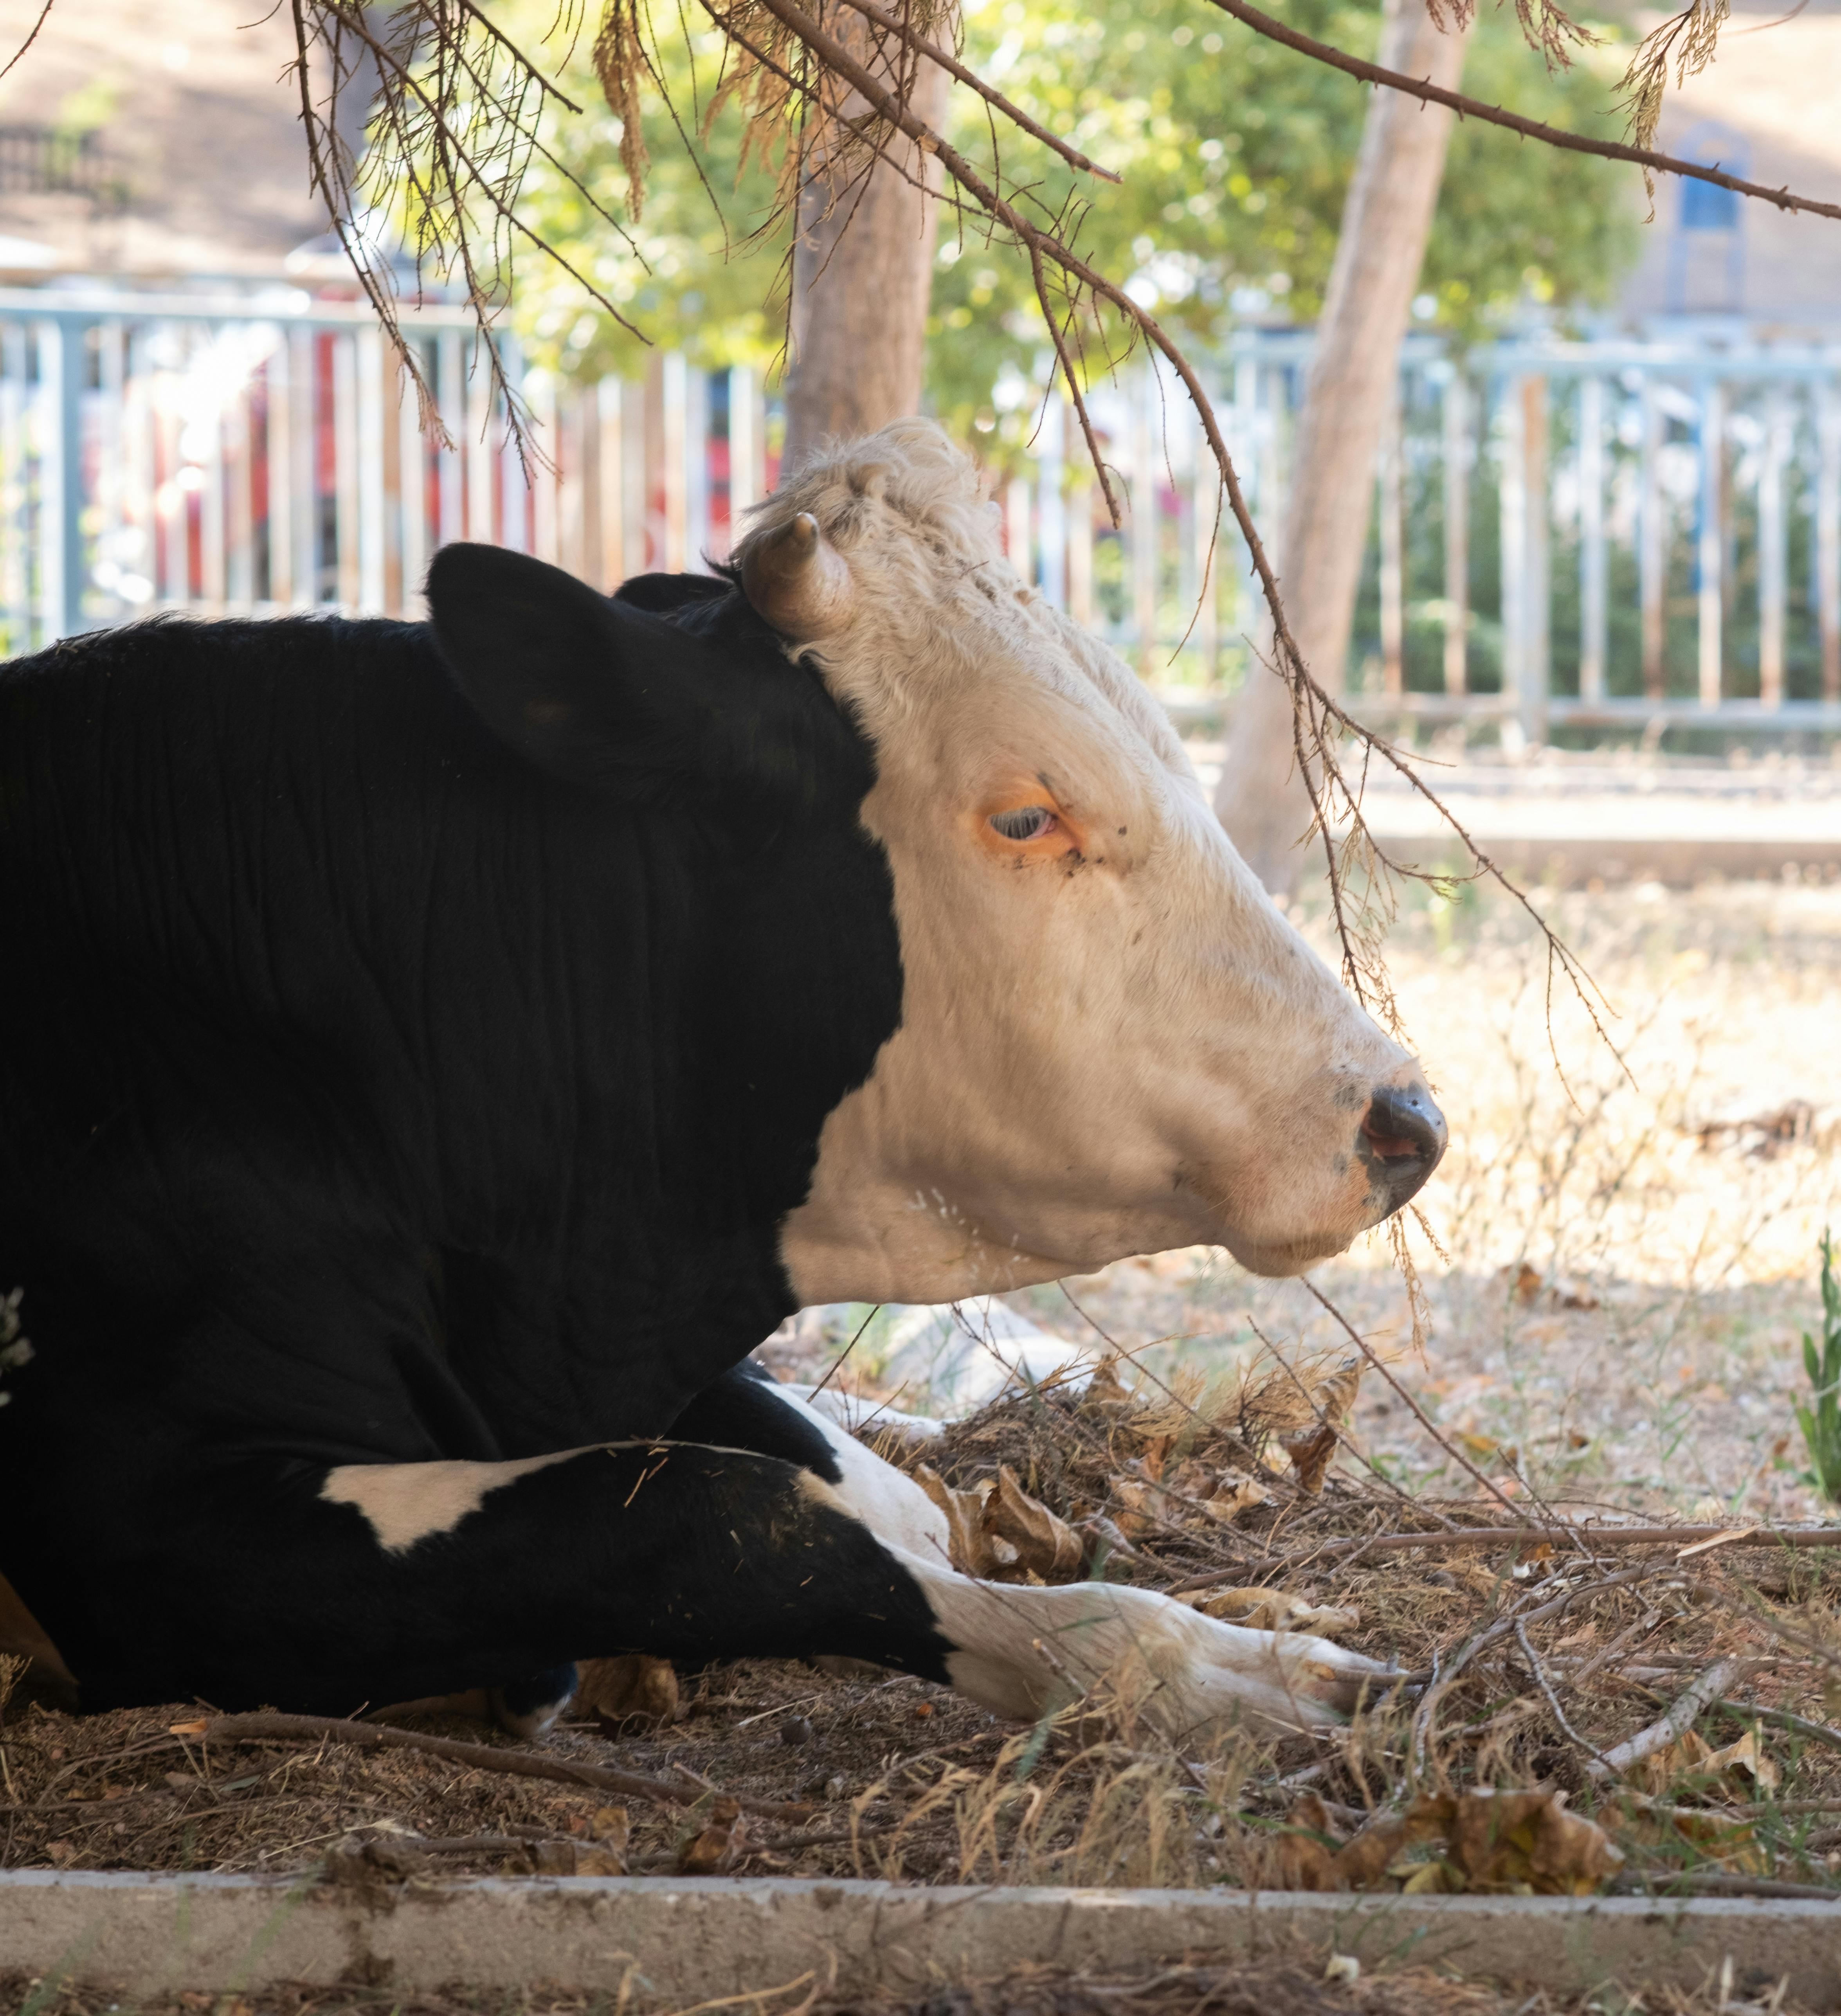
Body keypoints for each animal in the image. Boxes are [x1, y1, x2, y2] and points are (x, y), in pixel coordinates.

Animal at [0, 418, 1444, 1745]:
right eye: (1028, 815)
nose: (1407, 1120)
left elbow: (858, 1487)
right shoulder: (142, 1524)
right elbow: (713, 1514)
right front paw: (1216, 1671)